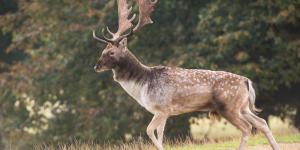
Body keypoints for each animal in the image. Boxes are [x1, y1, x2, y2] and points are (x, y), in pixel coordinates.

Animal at [92, 0, 280, 149]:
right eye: (102, 51)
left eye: (111, 53)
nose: (96, 66)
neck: (143, 87)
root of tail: (247, 81)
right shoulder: (164, 112)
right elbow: (160, 133)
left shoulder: (162, 108)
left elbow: (149, 130)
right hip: (243, 106)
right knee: (262, 122)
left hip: (228, 106)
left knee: (248, 127)